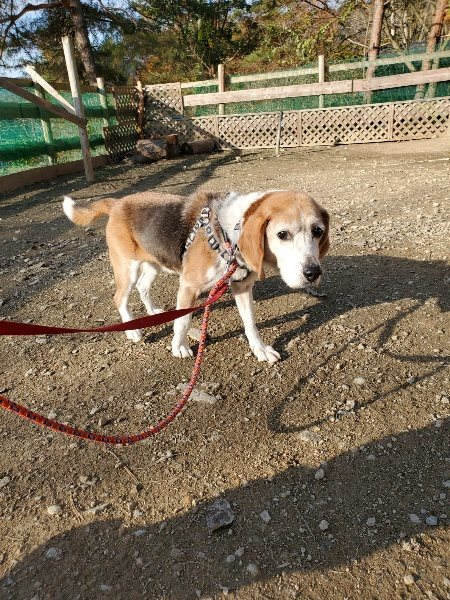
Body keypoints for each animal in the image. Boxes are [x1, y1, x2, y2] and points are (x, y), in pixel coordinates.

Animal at [63, 190, 329, 363]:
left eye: (318, 231)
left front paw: (260, 349)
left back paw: (154, 311)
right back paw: (133, 331)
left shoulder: (242, 286)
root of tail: (118, 202)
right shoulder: (189, 286)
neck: (229, 233)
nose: (313, 273)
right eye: (282, 234)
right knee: (120, 298)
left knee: (143, 287)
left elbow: (250, 323)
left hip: (154, 263)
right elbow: (183, 321)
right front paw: (179, 347)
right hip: (127, 268)